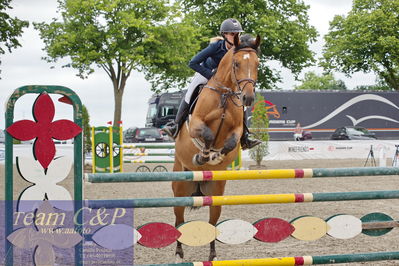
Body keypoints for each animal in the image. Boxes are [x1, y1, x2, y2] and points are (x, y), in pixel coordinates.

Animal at [173, 33, 262, 262]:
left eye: (257, 64)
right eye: (236, 63)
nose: (248, 98)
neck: (225, 93)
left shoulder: (237, 130)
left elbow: (230, 142)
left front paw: (216, 155)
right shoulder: (196, 124)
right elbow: (207, 134)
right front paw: (204, 155)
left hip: (216, 192)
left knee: (212, 222)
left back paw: (212, 255)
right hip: (180, 187)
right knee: (179, 220)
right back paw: (179, 253)